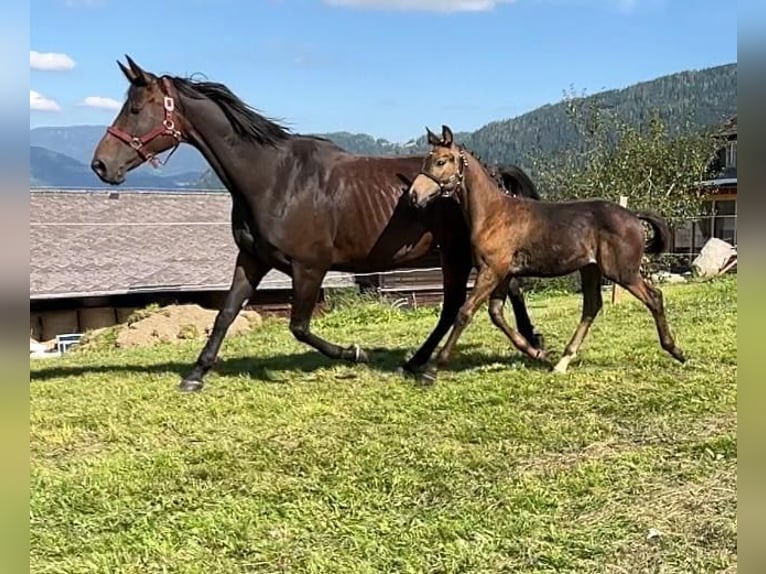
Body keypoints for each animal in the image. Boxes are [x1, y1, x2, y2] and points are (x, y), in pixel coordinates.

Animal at [90, 56, 544, 394]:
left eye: (135, 109)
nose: (101, 165)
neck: (274, 179)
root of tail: (489, 171)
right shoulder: (251, 260)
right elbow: (226, 314)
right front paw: (195, 374)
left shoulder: (310, 267)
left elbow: (299, 327)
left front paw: (355, 352)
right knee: (500, 293)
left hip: (455, 255)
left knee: (457, 305)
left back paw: (426, 360)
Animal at [408, 124, 688, 380]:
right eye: (425, 161)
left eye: (441, 161)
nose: (414, 196)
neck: (493, 214)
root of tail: (633, 216)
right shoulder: (503, 274)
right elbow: (496, 314)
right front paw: (537, 353)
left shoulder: (492, 270)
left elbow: (464, 312)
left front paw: (432, 369)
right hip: (591, 269)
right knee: (592, 307)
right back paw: (562, 361)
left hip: (622, 271)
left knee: (654, 297)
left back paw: (676, 351)